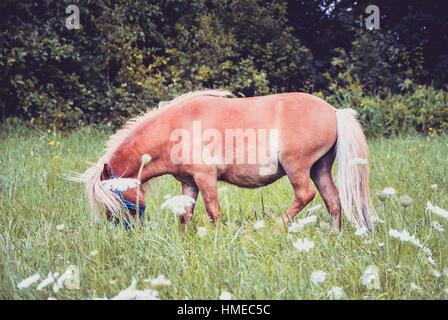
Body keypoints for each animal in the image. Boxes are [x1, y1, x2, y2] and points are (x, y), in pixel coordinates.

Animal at [72, 89, 376, 230]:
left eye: (115, 197)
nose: (122, 230)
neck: (176, 129)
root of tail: (334, 111)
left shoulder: (206, 178)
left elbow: (213, 211)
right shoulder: (189, 183)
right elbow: (185, 215)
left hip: (297, 167)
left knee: (305, 196)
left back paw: (275, 228)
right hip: (319, 168)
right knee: (333, 201)